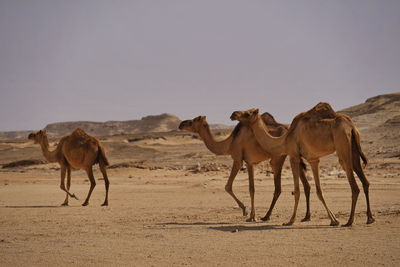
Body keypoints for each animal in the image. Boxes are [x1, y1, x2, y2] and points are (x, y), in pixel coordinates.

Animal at [179, 115, 312, 222]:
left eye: (192, 121)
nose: (181, 124)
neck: (229, 143)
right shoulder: (249, 162)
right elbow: (251, 188)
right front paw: (252, 215)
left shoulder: (238, 159)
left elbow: (230, 186)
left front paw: (247, 211)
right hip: (293, 154)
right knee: (306, 185)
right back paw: (306, 216)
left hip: (278, 157)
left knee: (278, 188)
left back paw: (266, 216)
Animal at [231, 103, 376, 227]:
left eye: (247, 113)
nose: (233, 114)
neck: (284, 140)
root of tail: (351, 127)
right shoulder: (313, 159)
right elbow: (319, 191)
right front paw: (333, 220)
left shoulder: (293, 156)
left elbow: (297, 191)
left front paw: (290, 220)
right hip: (354, 148)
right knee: (365, 181)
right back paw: (370, 218)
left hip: (342, 146)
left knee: (354, 186)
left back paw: (349, 221)